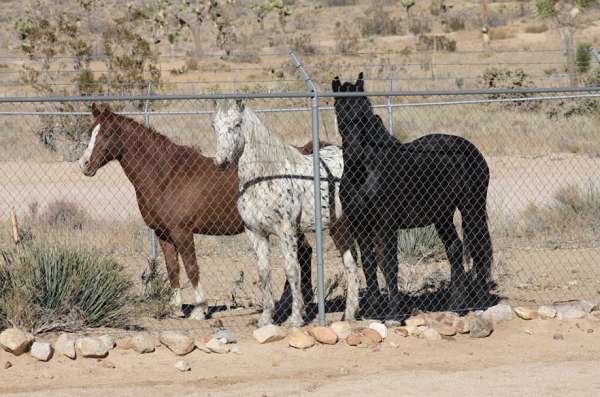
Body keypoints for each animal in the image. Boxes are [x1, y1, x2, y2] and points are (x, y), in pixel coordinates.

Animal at [80, 103, 318, 318]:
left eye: (107, 133)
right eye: (90, 131)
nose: (84, 164)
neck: (166, 176)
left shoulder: (182, 232)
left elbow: (191, 267)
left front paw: (200, 309)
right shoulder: (163, 234)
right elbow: (173, 268)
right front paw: (176, 309)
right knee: (305, 254)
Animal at [332, 72, 492, 318]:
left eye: (363, 114)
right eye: (340, 111)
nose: (355, 152)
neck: (365, 173)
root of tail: (473, 151)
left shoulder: (386, 224)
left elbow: (389, 263)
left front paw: (394, 314)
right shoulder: (360, 225)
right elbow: (368, 263)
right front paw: (373, 311)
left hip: (471, 208)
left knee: (479, 248)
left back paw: (481, 303)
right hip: (442, 215)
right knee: (455, 249)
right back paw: (456, 307)